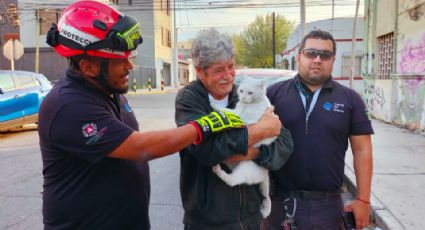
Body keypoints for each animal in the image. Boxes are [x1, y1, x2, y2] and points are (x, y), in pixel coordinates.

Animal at [211, 77, 276, 217]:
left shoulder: (241, 117)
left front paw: (213, 106)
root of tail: (265, 173)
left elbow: (226, 111)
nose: (243, 98)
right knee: (266, 197)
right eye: (241, 90)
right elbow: (228, 111)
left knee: (232, 181)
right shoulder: (238, 111)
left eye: (250, 93)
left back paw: (218, 170)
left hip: (244, 170)